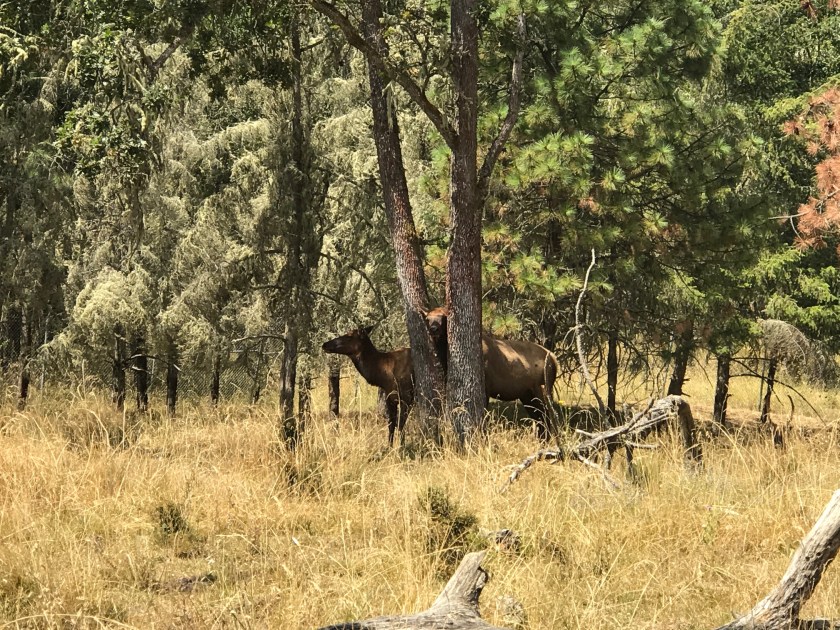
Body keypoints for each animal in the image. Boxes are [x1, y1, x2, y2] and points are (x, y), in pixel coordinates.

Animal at [424, 307, 559, 440]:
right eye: (427, 318)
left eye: (444, 317)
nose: (433, 329)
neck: (445, 357)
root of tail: (554, 359)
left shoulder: (486, 385)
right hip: (527, 394)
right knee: (539, 416)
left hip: (542, 388)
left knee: (547, 414)